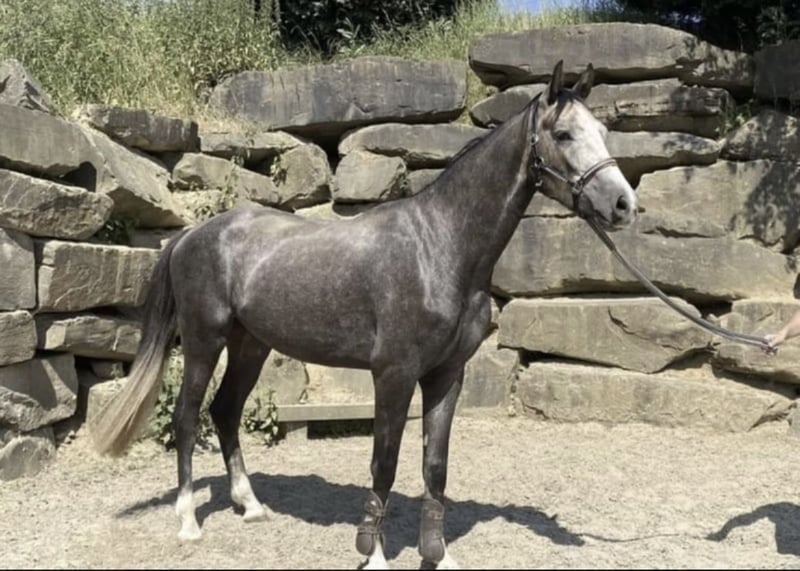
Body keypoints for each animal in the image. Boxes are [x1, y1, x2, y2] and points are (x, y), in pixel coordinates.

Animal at [92, 60, 637, 569]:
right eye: (564, 134)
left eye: (602, 131)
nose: (624, 204)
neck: (440, 246)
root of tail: (191, 235)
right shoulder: (393, 376)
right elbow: (385, 464)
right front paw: (374, 554)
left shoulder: (447, 376)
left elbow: (434, 467)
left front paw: (438, 554)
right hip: (205, 341)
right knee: (187, 418)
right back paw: (188, 522)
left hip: (252, 345)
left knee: (224, 412)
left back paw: (251, 506)